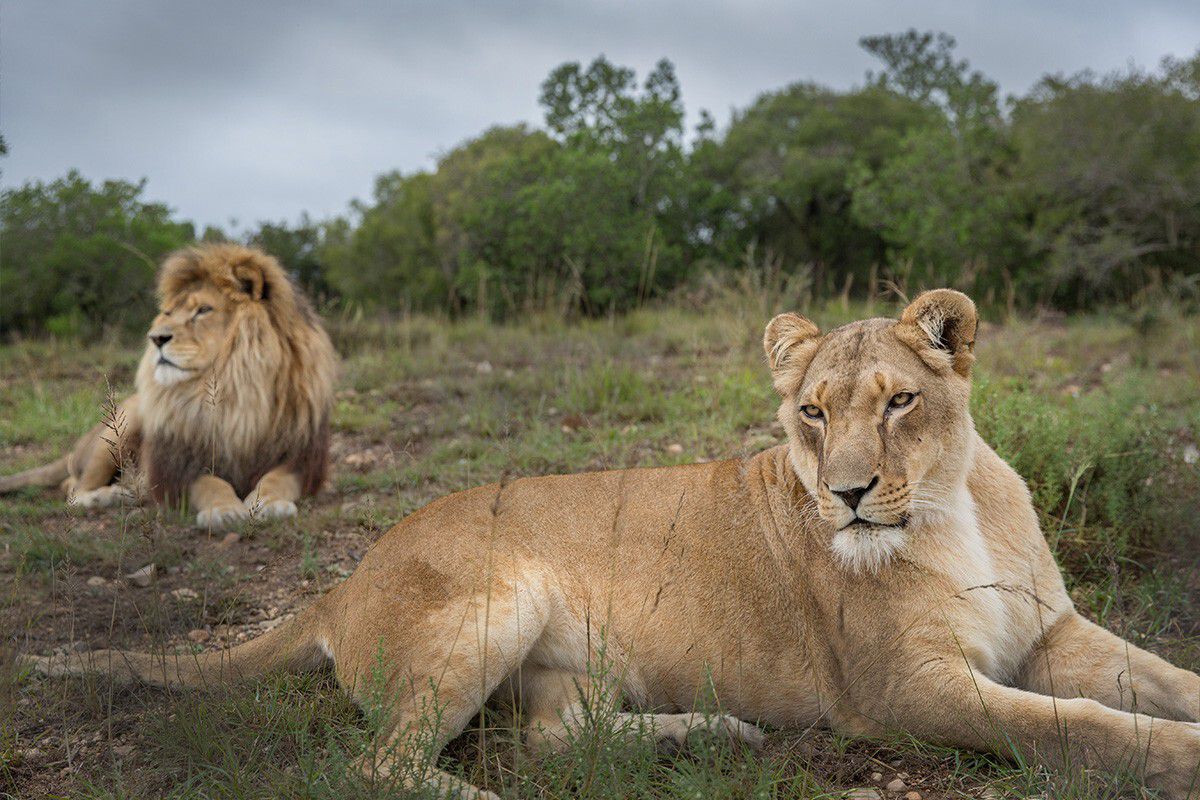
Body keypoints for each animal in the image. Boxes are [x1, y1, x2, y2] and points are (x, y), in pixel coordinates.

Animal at [0, 245, 338, 532]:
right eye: (167, 313)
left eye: (203, 310)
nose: (156, 338)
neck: (234, 389)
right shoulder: (179, 466)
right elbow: (210, 484)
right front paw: (224, 510)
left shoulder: (301, 458)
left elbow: (276, 480)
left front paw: (269, 502)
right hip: (121, 427)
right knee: (73, 488)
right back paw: (107, 496)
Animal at [25, 291, 1200, 796]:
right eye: (812, 414)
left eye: (900, 400)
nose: (850, 496)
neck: (951, 506)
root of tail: (341, 580)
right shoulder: (905, 690)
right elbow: (1079, 727)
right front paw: (1175, 757)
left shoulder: (1051, 634)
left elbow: (1158, 677)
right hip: (491, 600)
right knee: (381, 766)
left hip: (569, 665)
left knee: (557, 735)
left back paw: (714, 732)